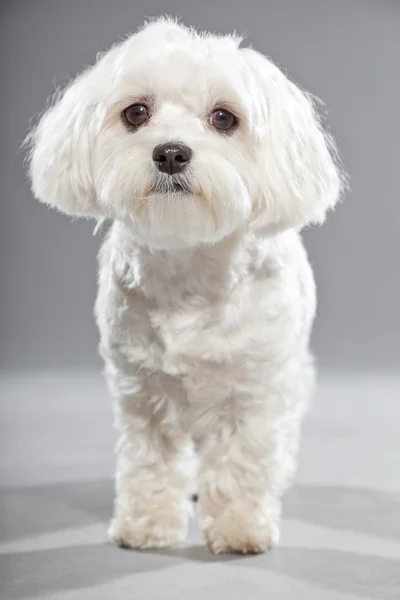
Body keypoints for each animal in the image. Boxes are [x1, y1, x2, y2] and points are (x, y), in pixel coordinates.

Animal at [25, 17, 344, 552]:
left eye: (224, 118)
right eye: (136, 112)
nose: (171, 152)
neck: (189, 263)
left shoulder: (254, 390)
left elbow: (242, 460)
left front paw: (240, 527)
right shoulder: (141, 390)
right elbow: (150, 461)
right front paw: (147, 524)